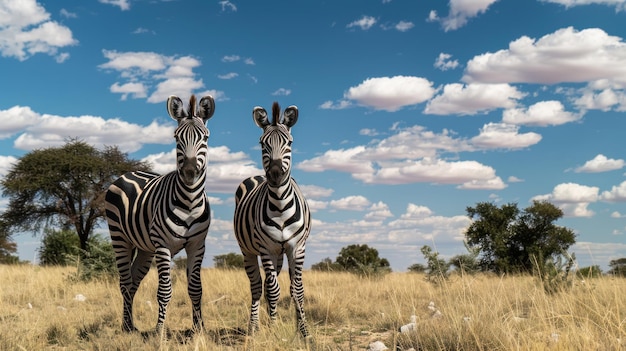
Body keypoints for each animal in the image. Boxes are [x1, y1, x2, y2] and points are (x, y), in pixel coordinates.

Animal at [105, 94, 214, 336]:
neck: (190, 201)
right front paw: (160, 331)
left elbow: (196, 288)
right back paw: (126, 326)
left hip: (146, 248)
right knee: (124, 282)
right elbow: (164, 290)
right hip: (119, 237)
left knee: (133, 281)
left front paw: (199, 328)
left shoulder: (197, 245)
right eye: (176, 138)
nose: (190, 172)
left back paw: (131, 325)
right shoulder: (163, 245)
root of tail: (129, 172)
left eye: (205, 137)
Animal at [233, 102, 310, 340]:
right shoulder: (265, 248)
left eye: (289, 142)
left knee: (270, 285)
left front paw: (303, 330)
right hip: (249, 251)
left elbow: (297, 290)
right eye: (262, 143)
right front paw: (274, 329)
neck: (280, 205)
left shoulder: (297, 247)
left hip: (279, 254)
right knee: (258, 286)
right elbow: (274, 290)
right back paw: (254, 326)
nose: (275, 174)